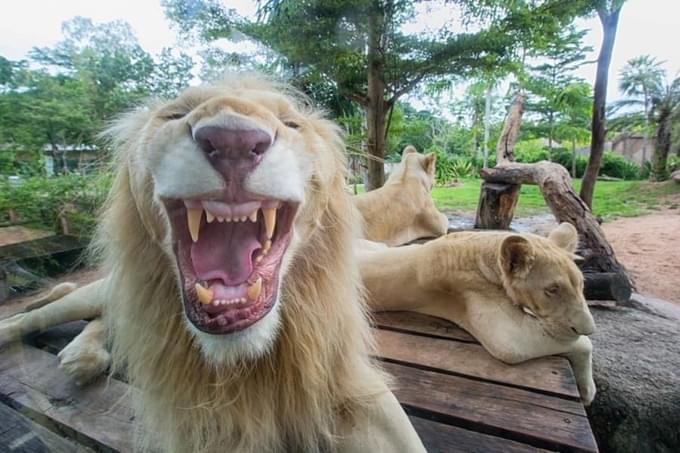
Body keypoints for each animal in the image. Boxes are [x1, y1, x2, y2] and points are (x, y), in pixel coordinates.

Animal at [1, 76, 424, 452]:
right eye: (175, 114)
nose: (233, 141)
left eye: (291, 123)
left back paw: (83, 357)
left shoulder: (348, 383)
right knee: (40, 315)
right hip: (92, 293)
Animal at [358, 222, 596, 402]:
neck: (485, 248)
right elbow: (579, 343)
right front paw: (588, 391)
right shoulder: (508, 340)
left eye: (582, 285)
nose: (589, 328)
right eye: (552, 290)